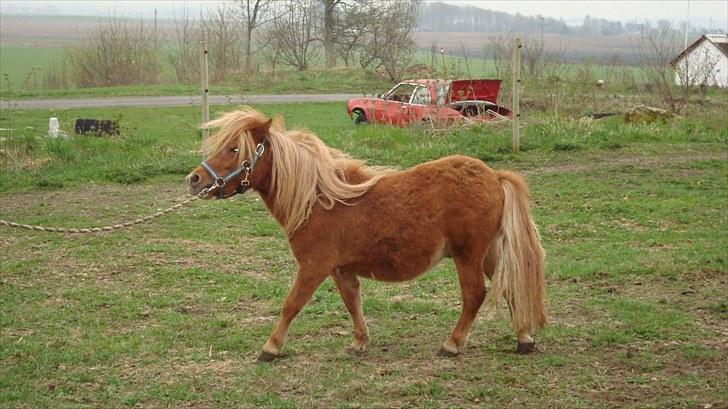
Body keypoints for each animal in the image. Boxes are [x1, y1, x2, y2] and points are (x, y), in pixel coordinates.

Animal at [185, 106, 544, 360]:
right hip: (489, 253)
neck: (317, 199)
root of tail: (494, 176)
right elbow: (352, 303)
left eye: (234, 149)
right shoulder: (341, 270)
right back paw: (524, 338)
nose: (195, 179)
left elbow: (291, 304)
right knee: (510, 287)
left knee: (474, 296)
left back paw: (452, 344)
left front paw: (271, 347)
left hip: (468, 255)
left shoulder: (313, 267)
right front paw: (360, 342)